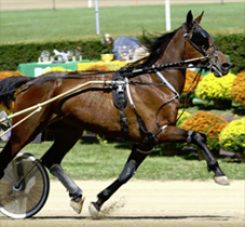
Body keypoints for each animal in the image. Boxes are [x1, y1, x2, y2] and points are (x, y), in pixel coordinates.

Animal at [0, 11, 231, 216]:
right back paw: (16, 188)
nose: (226, 64)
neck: (154, 83)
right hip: (26, 129)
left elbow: (126, 174)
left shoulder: (145, 142)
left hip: (69, 130)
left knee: (50, 159)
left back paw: (76, 195)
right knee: (8, 157)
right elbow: (198, 136)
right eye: (201, 39)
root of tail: (28, 83)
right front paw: (219, 173)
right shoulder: (159, 132)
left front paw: (98, 203)